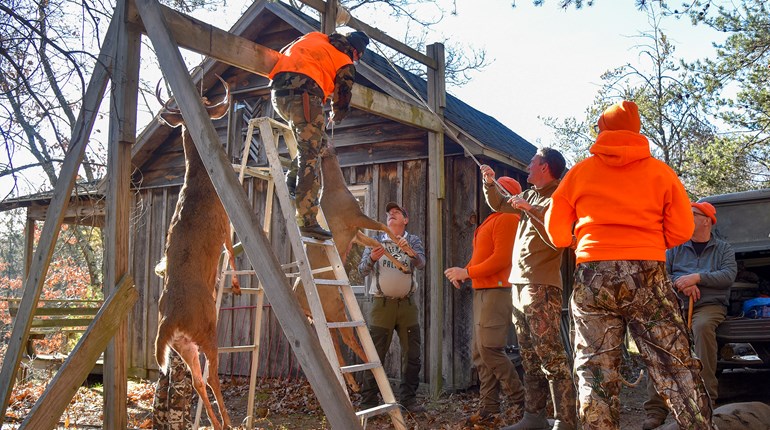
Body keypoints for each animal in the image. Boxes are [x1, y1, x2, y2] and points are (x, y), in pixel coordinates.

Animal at [293, 143, 411, 391]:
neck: (337, 188)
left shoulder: (355, 232)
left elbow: (379, 243)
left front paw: (405, 264)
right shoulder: (355, 218)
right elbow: (384, 228)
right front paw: (408, 257)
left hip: (325, 314)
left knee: (334, 346)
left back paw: (354, 385)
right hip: (333, 306)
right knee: (347, 339)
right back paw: (374, 374)